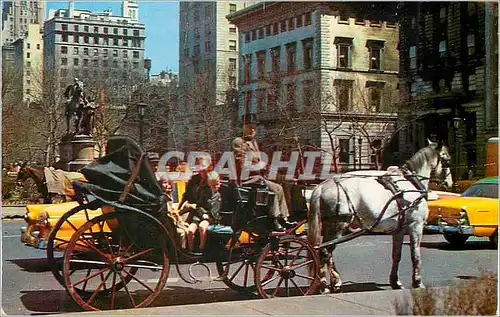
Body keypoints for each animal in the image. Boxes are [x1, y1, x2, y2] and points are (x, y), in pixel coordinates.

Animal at [306, 139, 456, 292]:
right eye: (448, 161)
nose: (450, 183)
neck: (411, 183)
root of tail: (322, 186)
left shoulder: (399, 230)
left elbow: (397, 255)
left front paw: (395, 281)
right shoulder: (416, 225)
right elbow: (416, 255)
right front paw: (418, 282)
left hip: (328, 226)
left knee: (325, 252)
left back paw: (333, 281)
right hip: (337, 226)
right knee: (324, 251)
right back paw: (325, 285)